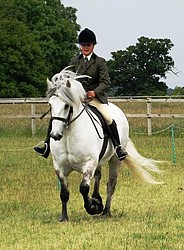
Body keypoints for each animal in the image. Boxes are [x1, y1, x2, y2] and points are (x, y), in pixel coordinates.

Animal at [46, 68, 162, 221]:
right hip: (99, 160)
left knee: (110, 184)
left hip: (115, 160)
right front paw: (64, 217)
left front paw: (92, 207)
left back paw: (105, 210)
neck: (68, 136)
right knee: (98, 176)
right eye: (50, 104)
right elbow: (64, 192)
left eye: (66, 105)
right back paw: (97, 199)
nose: (55, 135)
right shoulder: (59, 167)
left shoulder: (89, 163)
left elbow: (83, 188)